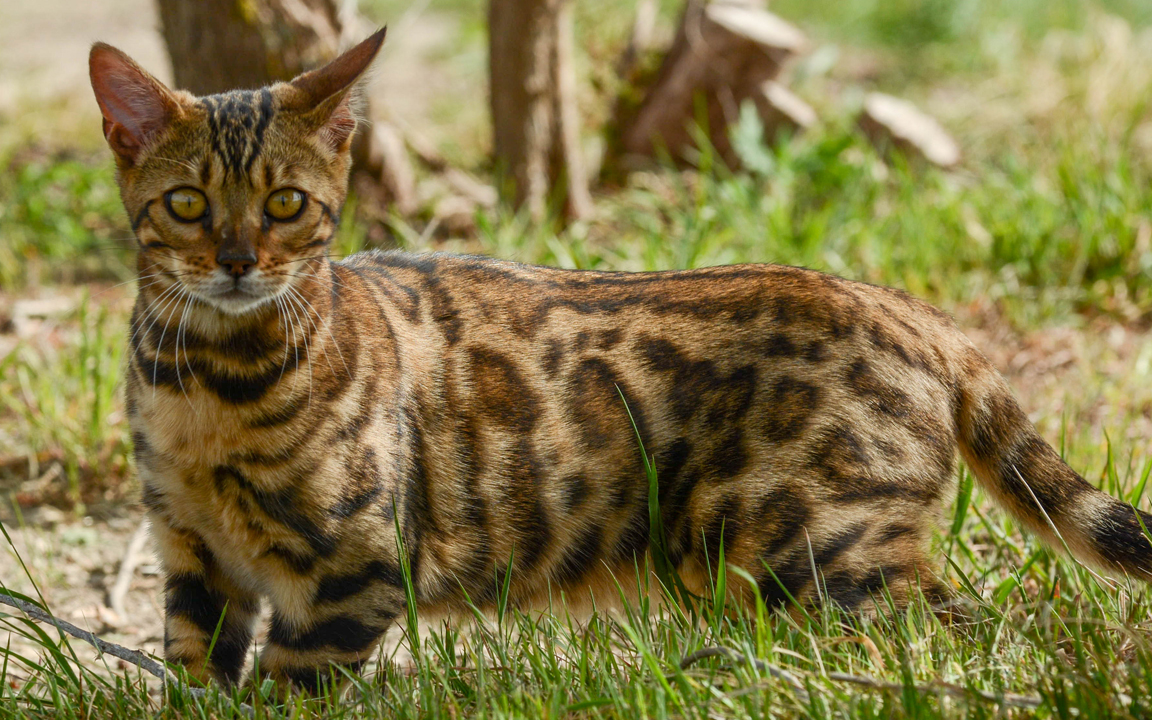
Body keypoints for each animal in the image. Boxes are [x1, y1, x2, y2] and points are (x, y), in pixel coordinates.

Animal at [87, 28, 1152, 691]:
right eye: (187, 203)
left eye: (285, 205)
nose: (236, 262)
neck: (204, 390)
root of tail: (911, 307)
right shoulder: (194, 559)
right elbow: (194, 679)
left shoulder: (354, 570)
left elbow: (286, 688)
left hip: (807, 548)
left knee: (966, 632)